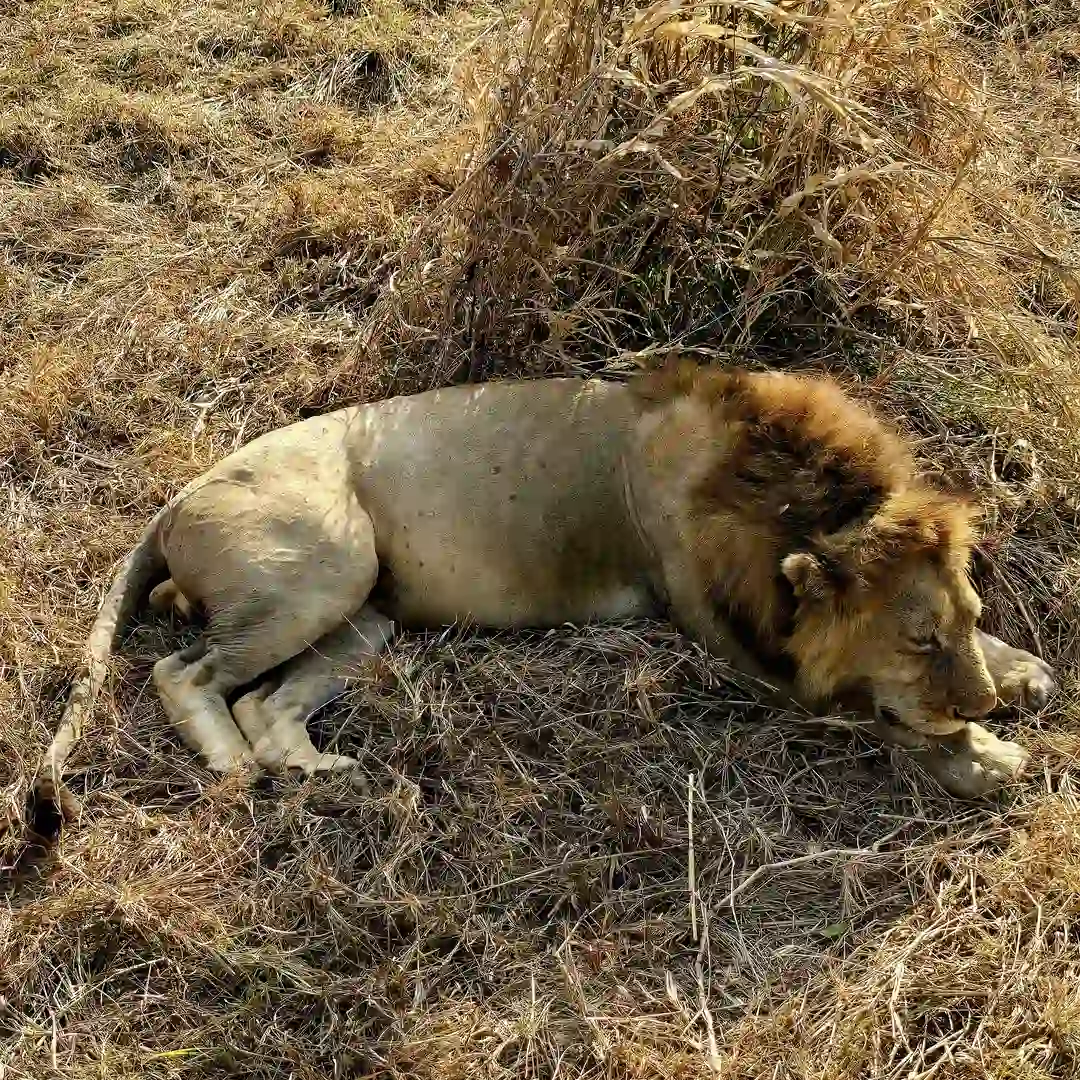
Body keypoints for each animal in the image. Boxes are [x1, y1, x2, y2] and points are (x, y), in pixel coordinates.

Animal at [36, 364, 1055, 816]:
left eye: (963, 618)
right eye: (917, 641)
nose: (982, 701)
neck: (800, 506)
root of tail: (179, 495)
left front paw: (1023, 674)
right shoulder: (731, 645)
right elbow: (873, 718)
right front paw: (987, 754)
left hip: (367, 618)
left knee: (267, 702)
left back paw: (315, 770)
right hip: (329, 563)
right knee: (183, 672)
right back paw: (230, 767)